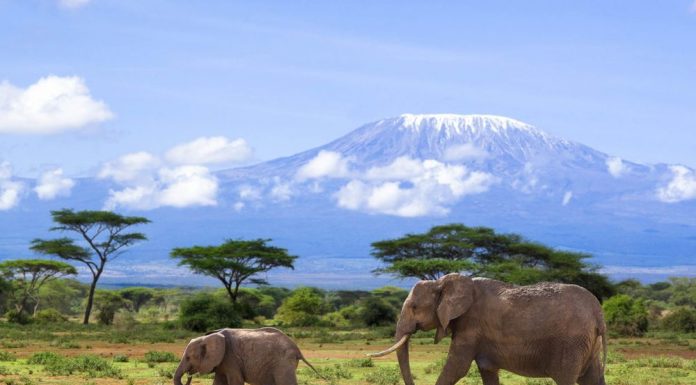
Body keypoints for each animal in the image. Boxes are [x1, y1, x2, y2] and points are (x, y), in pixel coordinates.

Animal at [174, 326, 320, 384]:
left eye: (188, 358)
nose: (189, 376)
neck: (209, 337)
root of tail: (297, 349)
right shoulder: (222, 362)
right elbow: (218, 382)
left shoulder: (230, 358)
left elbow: (236, 381)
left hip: (283, 363)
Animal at [370, 272, 604, 384]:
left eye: (414, 307)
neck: (443, 282)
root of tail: (598, 312)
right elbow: (487, 371)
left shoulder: (471, 324)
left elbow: (457, 367)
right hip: (588, 344)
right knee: (592, 379)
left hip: (571, 343)